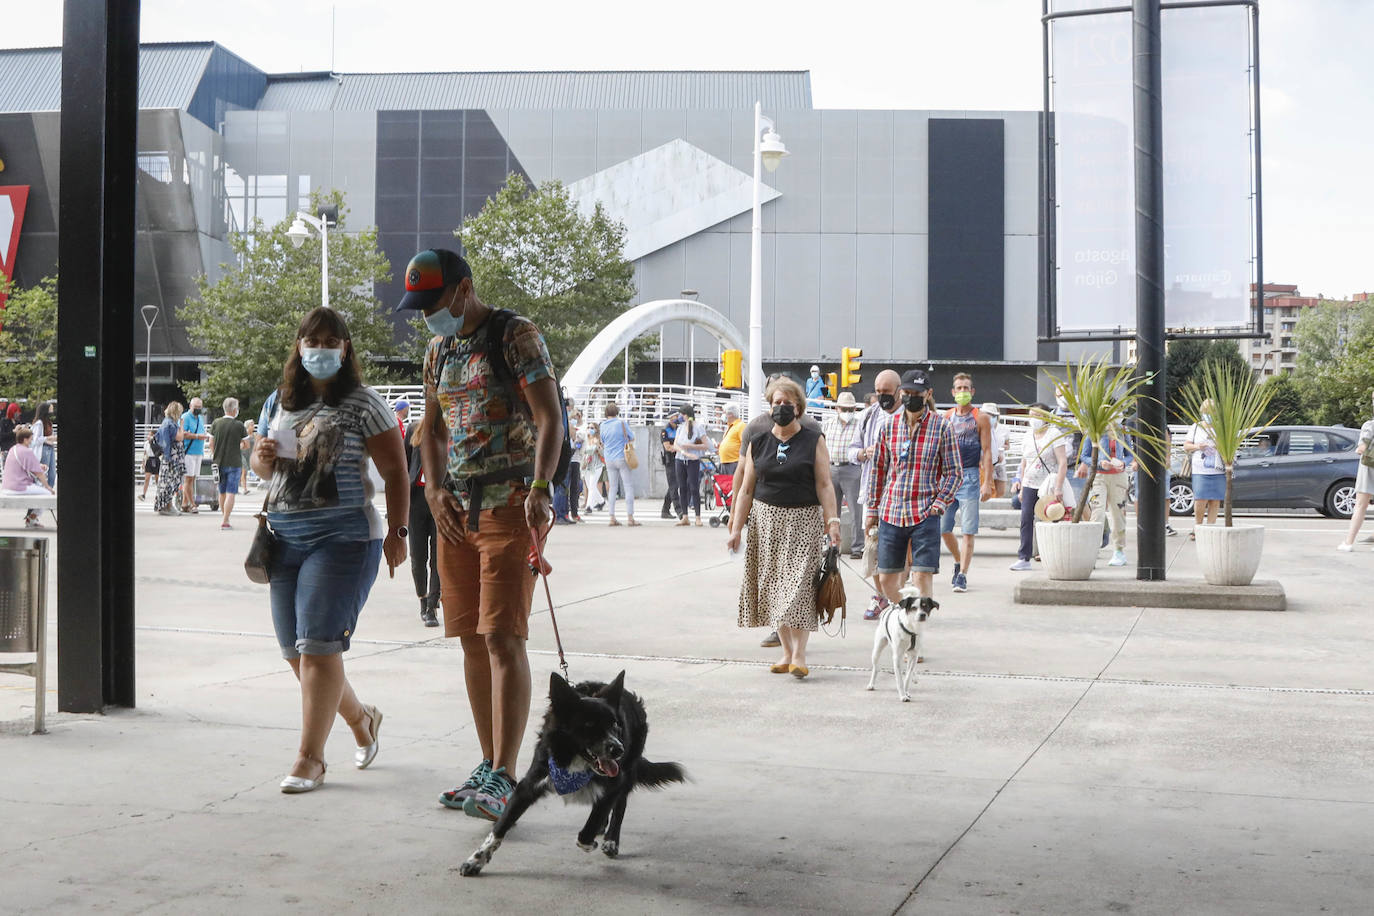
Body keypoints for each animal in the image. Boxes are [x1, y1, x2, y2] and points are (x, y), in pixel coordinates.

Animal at [458, 672, 684, 873]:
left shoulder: (615, 782)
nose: (618, 749)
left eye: (615, 724)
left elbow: (587, 831)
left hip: (628, 768)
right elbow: (498, 829)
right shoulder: (530, 784)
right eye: (589, 724)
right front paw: (476, 860)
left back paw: (611, 840)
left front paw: (592, 841)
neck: (574, 762)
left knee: (620, 805)